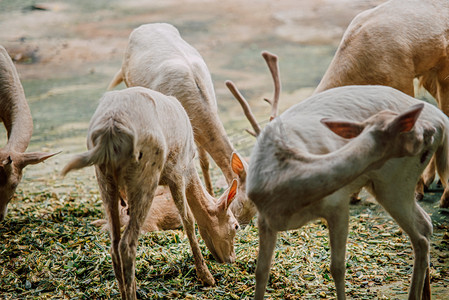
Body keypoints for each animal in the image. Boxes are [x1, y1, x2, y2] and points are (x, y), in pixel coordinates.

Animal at [62, 85, 242, 298]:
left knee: (114, 244)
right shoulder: (176, 170)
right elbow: (188, 219)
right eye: (236, 225)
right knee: (127, 244)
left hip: (103, 176)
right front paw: (207, 278)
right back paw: (132, 294)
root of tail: (110, 130)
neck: (190, 168)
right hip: (147, 172)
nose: (231, 259)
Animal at [107, 23, 256, 225]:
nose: (242, 223)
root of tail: (145, 26)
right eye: (242, 201)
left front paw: (210, 193)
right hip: (127, 79)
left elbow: (204, 161)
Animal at [226, 51, 442, 298]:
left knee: (421, 234)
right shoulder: (266, 219)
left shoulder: (337, 203)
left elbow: (337, 268)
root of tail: (441, 120)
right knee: (425, 225)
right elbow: (262, 271)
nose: (428, 131)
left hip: (395, 181)